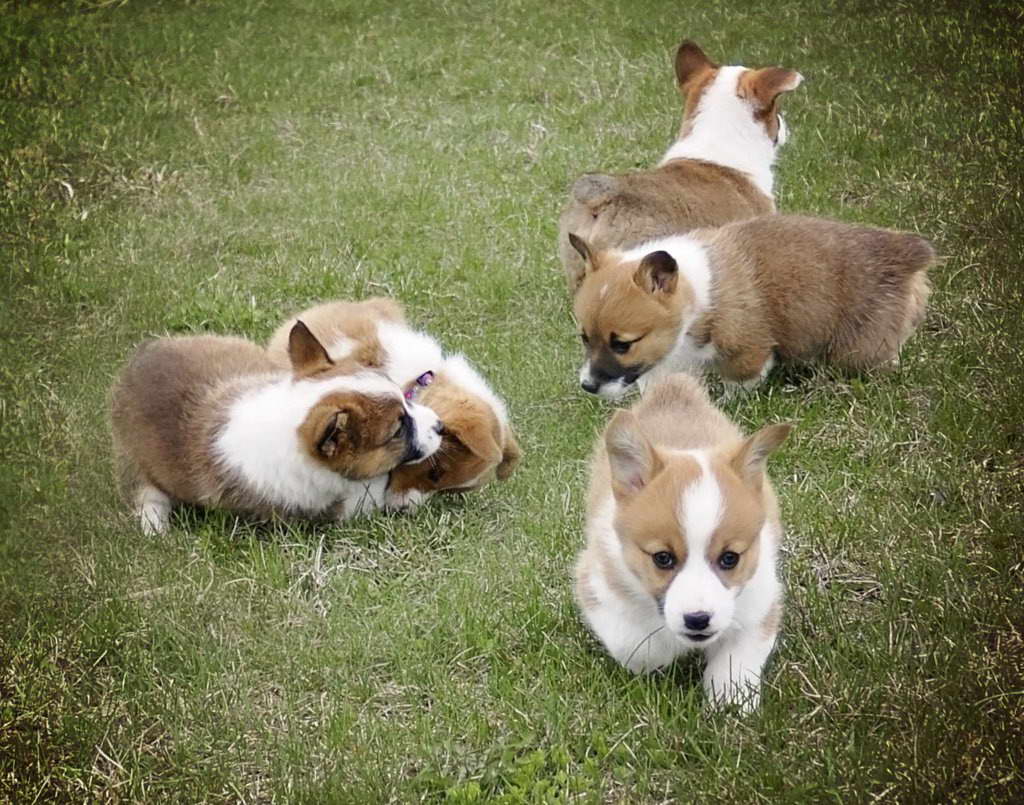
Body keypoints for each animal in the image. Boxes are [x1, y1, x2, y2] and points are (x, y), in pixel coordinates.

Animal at [573, 212, 933, 397]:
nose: (588, 386)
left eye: (622, 344)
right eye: (584, 338)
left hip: (858, 349)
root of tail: (907, 254)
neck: (696, 293)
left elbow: (741, 378)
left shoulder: (746, 348)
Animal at [577, 370, 790, 708]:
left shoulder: (761, 600)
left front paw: (729, 700)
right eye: (662, 558)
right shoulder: (595, 583)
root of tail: (673, 388)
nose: (698, 620)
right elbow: (638, 646)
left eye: (730, 558)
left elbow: (738, 659)